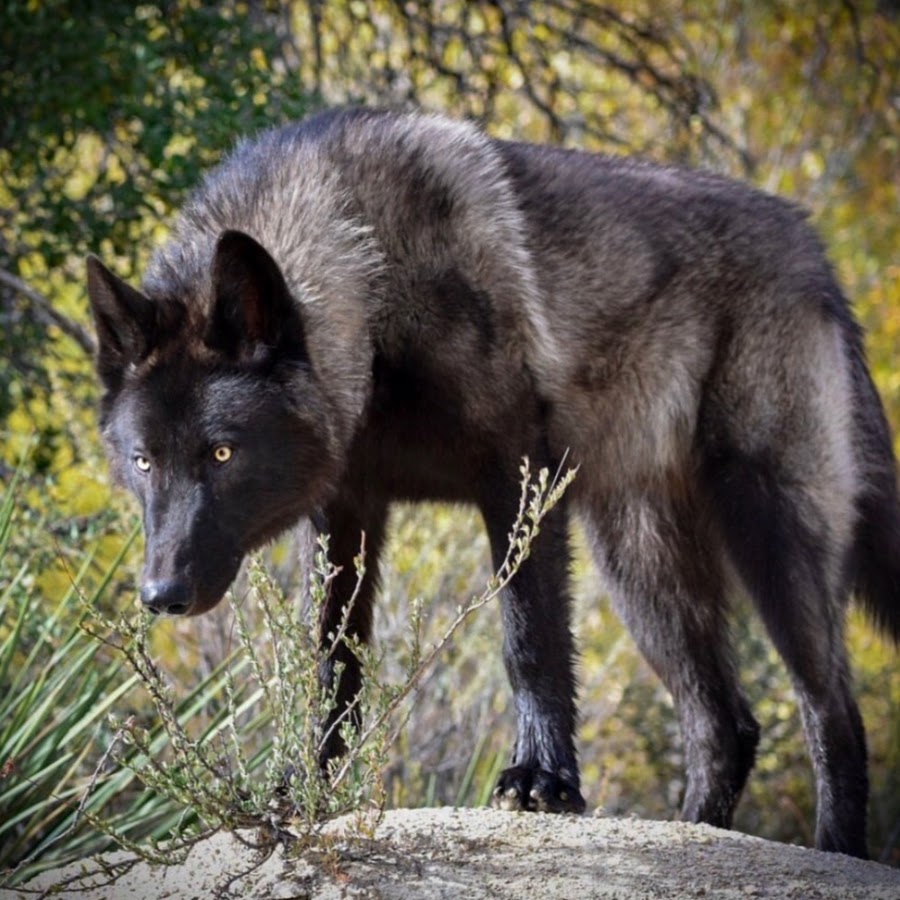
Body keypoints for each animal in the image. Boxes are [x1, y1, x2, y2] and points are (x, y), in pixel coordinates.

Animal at [86, 107, 900, 856]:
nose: (160, 595)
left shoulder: (519, 481)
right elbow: (334, 661)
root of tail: (816, 254)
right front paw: (310, 785)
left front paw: (542, 780)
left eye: (222, 455)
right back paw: (695, 835)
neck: (372, 275)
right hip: (642, 576)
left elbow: (528, 639)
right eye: (144, 461)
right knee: (725, 726)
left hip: (769, 537)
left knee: (834, 712)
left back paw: (836, 853)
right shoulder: (346, 517)